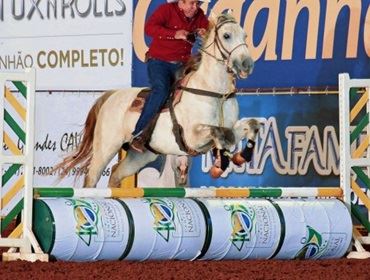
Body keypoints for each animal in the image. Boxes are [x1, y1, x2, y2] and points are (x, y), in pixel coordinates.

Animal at [55, 13, 258, 188]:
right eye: (226, 35)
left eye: (245, 35)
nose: (246, 64)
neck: (215, 92)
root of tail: (111, 95)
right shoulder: (193, 137)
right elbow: (219, 132)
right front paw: (221, 162)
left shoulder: (230, 128)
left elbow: (249, 125)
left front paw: (239, 157)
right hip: (106, 147)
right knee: (92, 177)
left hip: (141, 156)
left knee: (115, 174)